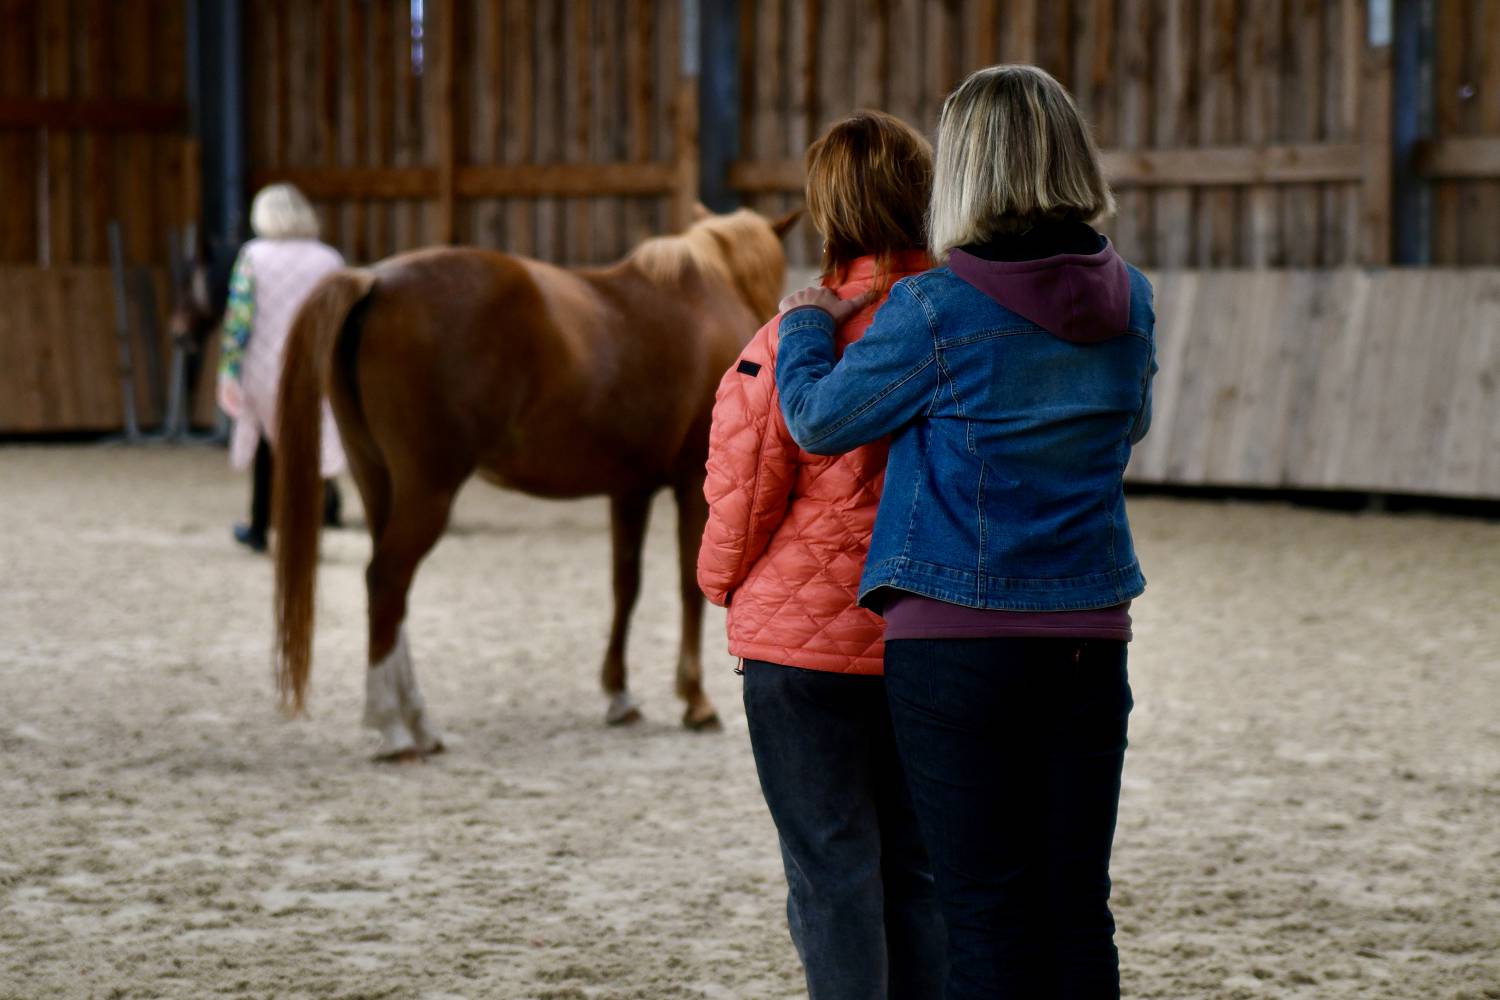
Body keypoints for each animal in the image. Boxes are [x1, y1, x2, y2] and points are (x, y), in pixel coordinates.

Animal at [277, 209, 804, 758]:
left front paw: (620, 696)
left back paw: (418, 722)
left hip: (376, 480)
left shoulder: (630, 489)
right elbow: (688, 586)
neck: (708, 296)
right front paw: (695, 700)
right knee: (386, 581)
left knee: (390, 593)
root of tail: (376, 281)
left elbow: (626, 585)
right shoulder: (692, 488)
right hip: (428, 492)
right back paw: (394, 728)